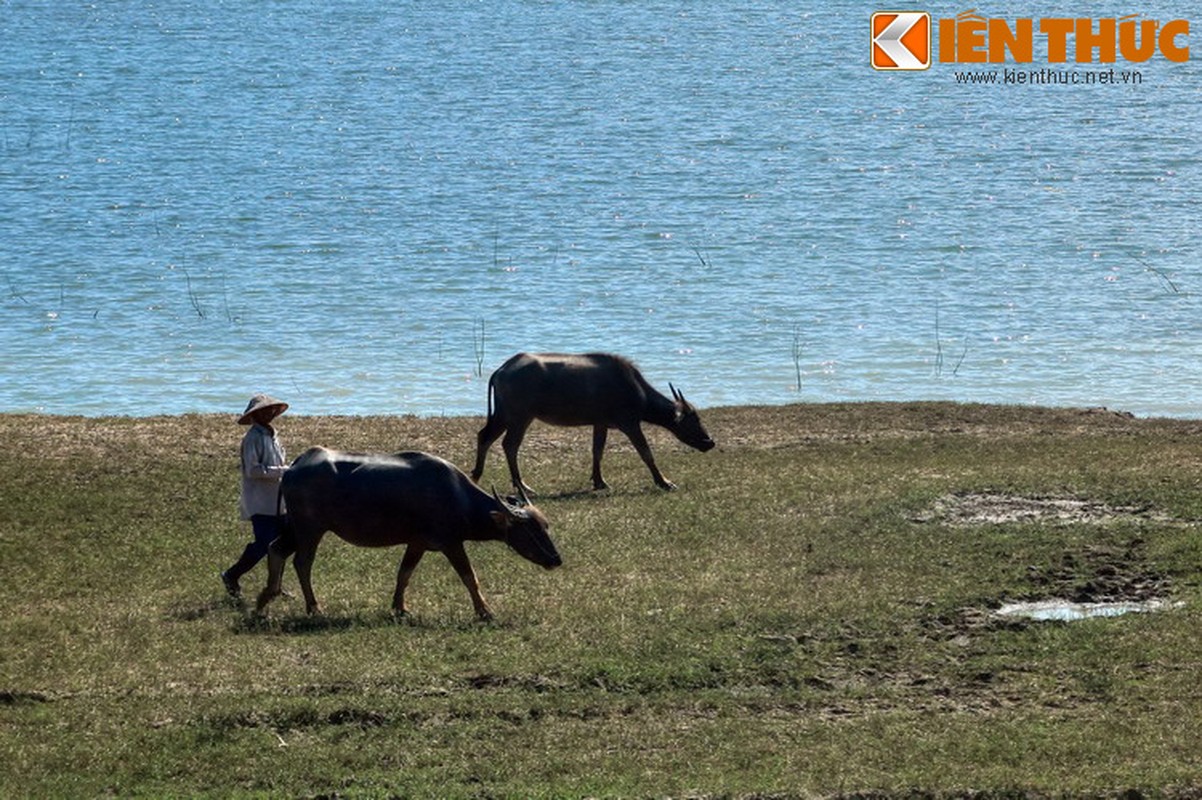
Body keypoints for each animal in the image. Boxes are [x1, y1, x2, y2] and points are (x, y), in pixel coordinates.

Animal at [256, 444, 560, 619]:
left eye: (545, 525)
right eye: (529, 530)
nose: (556, 559)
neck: (458, 497)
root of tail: (293, 467)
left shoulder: (417, 543)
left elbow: (404, 575)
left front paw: (399, 608)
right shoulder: (451, 543)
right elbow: (469, 577)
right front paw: (485, 611)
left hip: (296, 528)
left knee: (276, 549)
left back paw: (265, 599)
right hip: (311, 529)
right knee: (302, 562)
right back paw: (313, 607)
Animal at [468, 350, 711, 492]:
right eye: (693, 420)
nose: (710, 442)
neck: (636, 391)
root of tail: (501, 370)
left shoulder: (600, 423)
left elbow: (597, 451)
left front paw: (599, 481)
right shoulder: (629, 423)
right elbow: (645, 452)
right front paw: (664, 482)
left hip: (504, 414)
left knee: (485, 436)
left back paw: (477, 475)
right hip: (520, 416)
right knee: (509, 445)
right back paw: (522, 486)